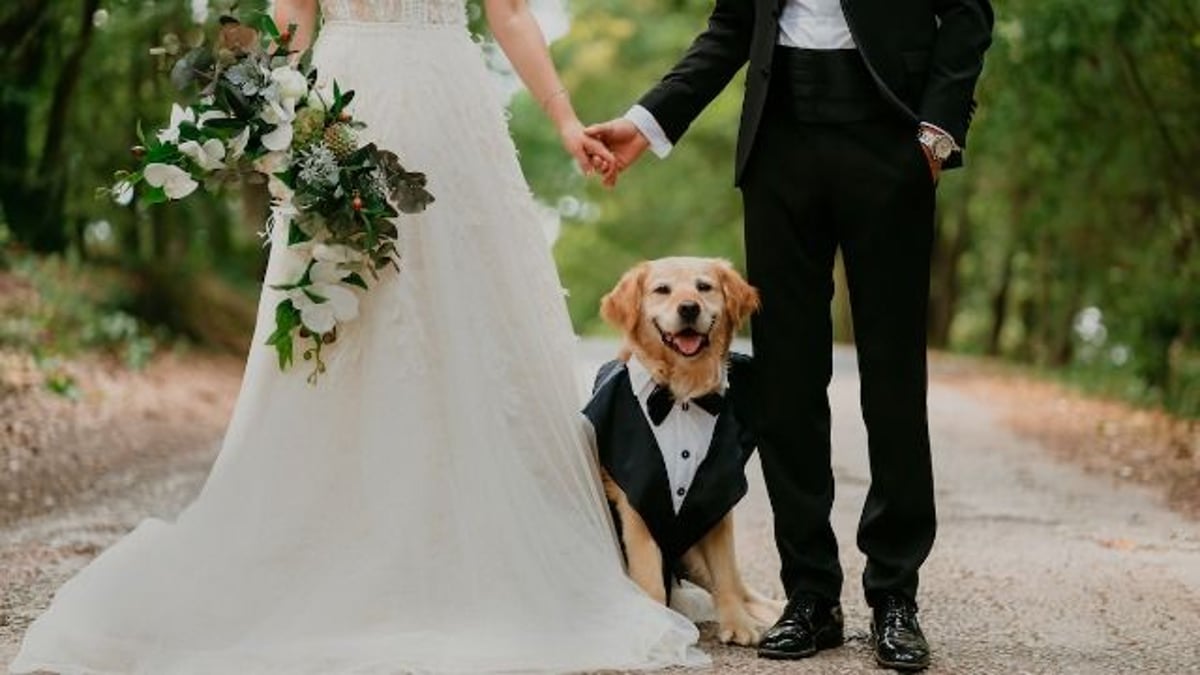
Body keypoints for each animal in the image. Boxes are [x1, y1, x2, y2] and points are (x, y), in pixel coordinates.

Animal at [595, 254, 782, 643]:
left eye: (704, 287)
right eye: (662, 290)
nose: (688, 308)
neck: (682, 394)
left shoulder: (716, 501)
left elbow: (726, 574)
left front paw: (738, 625)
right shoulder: (637, 507)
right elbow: (650, 580)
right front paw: (662, 632)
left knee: (741, 588)